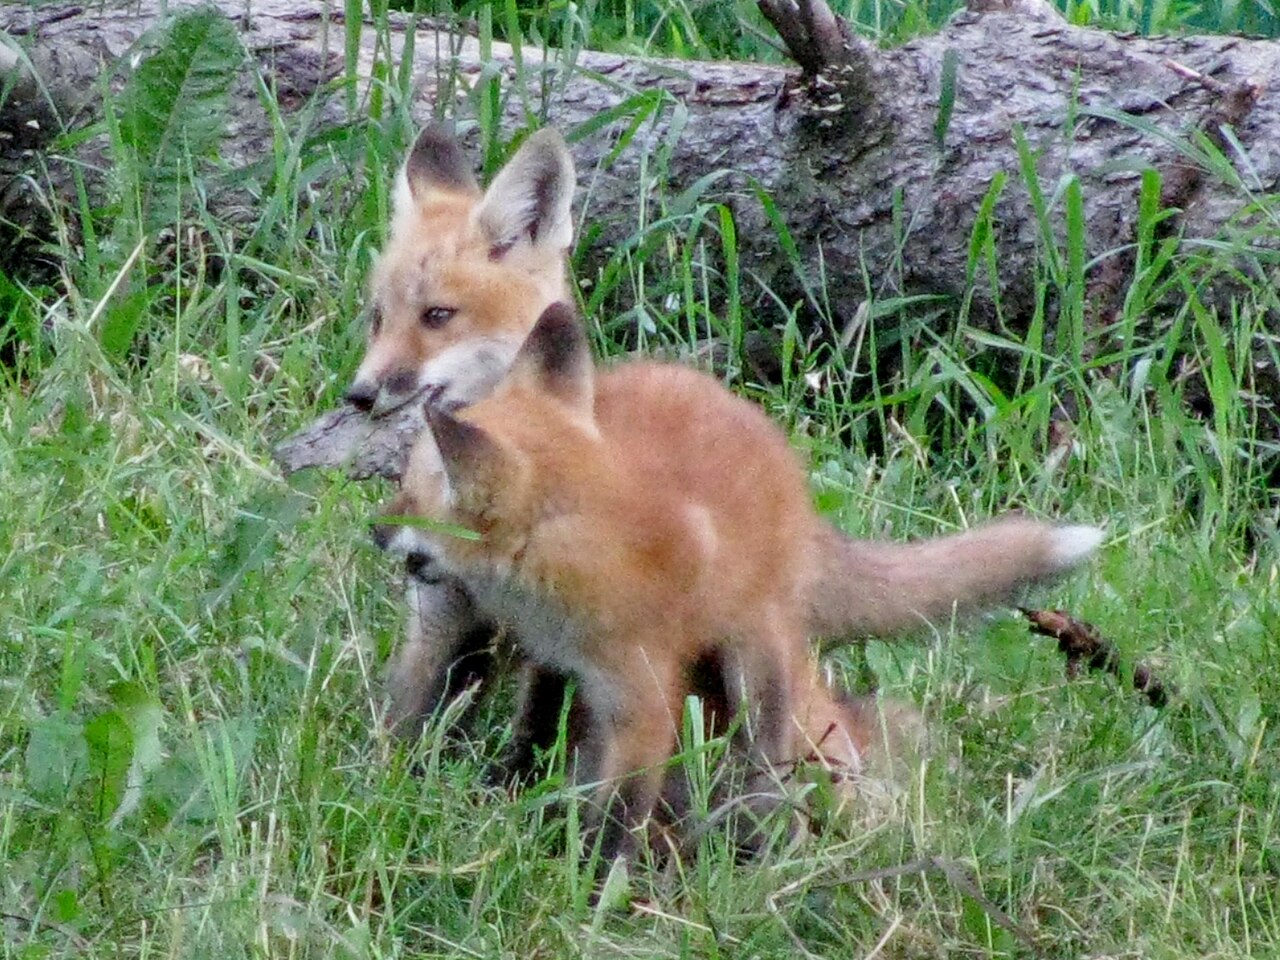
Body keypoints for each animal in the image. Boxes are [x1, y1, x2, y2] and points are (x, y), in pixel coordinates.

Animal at [357, 125, 1102, 751]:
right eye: (377, 317)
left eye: (438, 316)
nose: (358, 394)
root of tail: (793, 490)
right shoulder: (442, 616)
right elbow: (409, 722)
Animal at [376, 302, 933, 866]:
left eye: (410, 502)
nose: (375, 531)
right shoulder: (555, 661)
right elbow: (534, 731)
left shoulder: (642, 703)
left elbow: (622, 811)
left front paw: (597, 875)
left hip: (754, 660)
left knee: (769, 752)